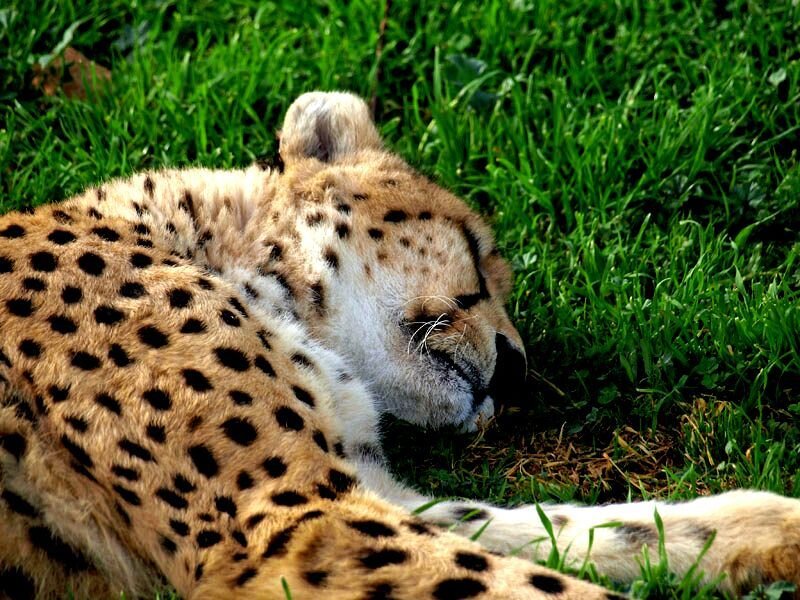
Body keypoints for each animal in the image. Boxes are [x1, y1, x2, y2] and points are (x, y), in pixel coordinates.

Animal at [0, 91, 798, 600]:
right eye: (476, 252)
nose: (515, 371)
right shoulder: (288, 523)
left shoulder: (358, 495)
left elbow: (545, 527)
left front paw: (769, 525)